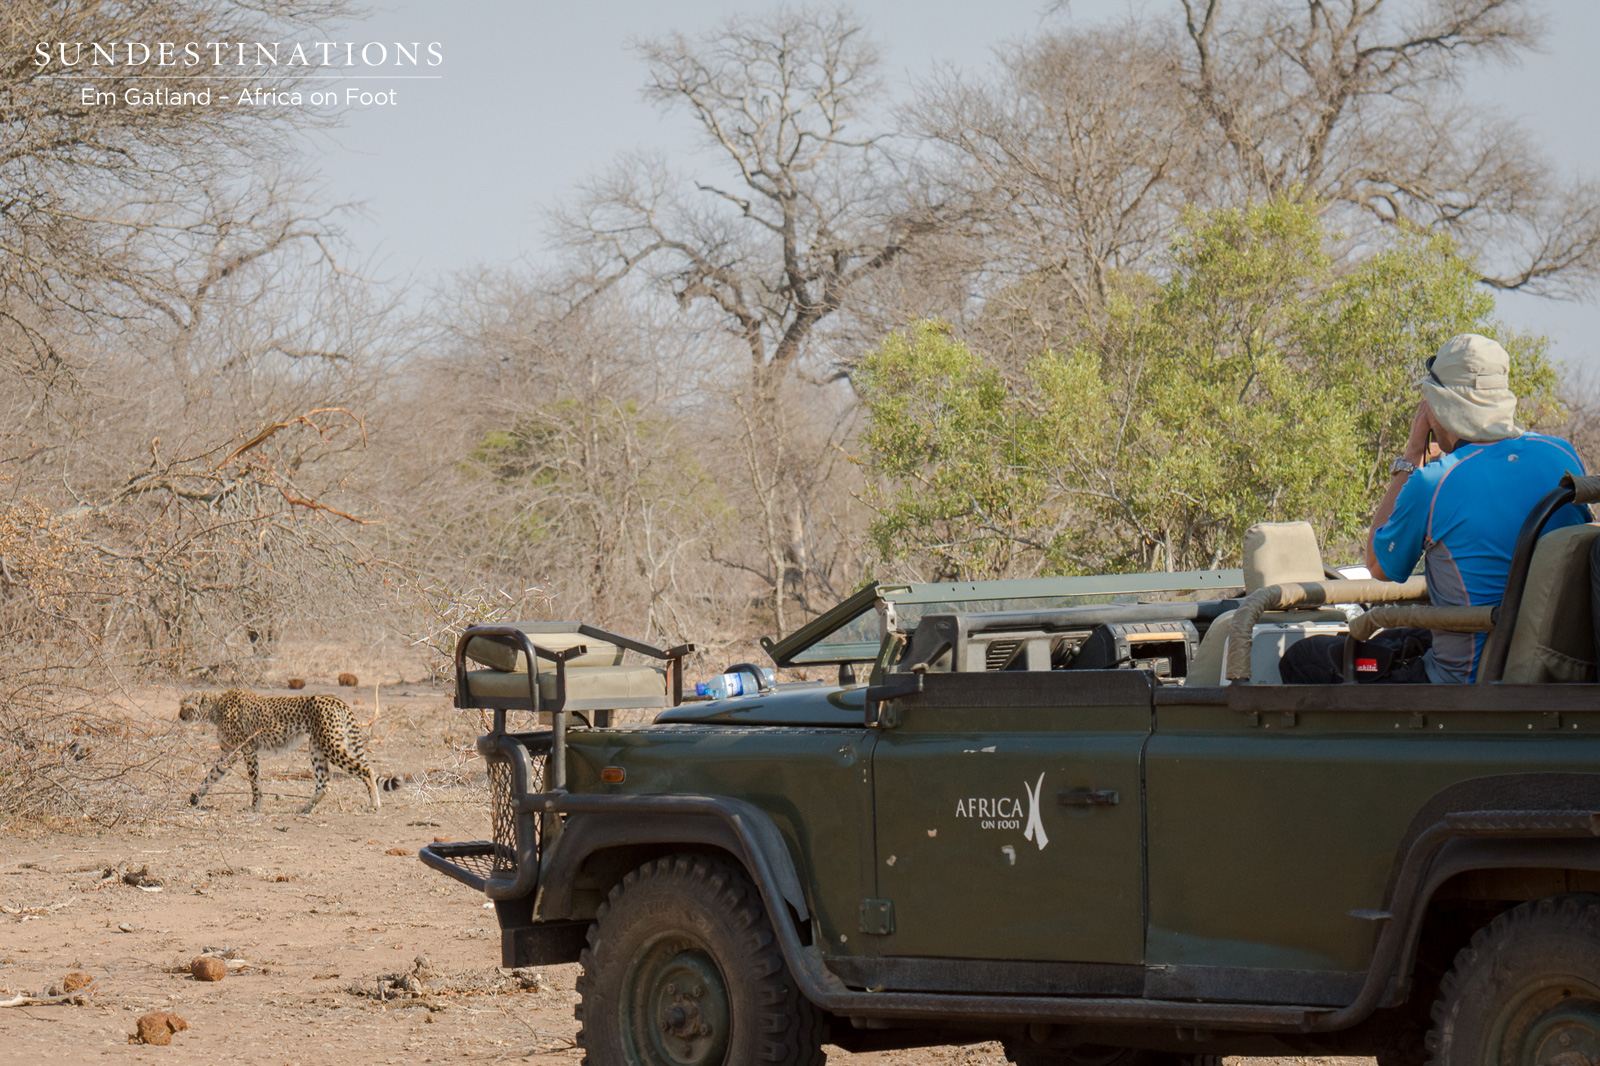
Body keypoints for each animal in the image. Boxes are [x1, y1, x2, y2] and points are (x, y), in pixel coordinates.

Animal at [178, 688, 383, 813]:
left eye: (183, 705)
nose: (180, 716)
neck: (215, 706)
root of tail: (337, 699)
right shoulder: (229, 753)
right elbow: (211, 775)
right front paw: (195, 797)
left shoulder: (246, 749)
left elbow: (254, 782)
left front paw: (255, 806)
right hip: (316, 747)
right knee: (324, 782)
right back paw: (305, 808)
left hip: (331, 746)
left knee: (367, 770)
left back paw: (374, 804)